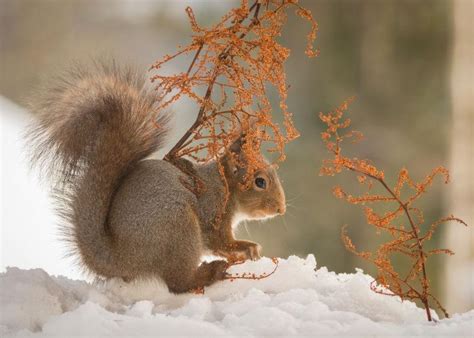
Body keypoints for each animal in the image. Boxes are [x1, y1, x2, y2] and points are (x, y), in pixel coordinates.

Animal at [26, 62, 286, 294]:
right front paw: (249, 248)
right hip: (179, 227)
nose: (281, 209)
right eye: (260, 182)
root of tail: (121, 258)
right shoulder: (214, 210)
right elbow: (220, 242)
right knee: (178, 283)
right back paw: (211, 273)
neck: (226, 186)